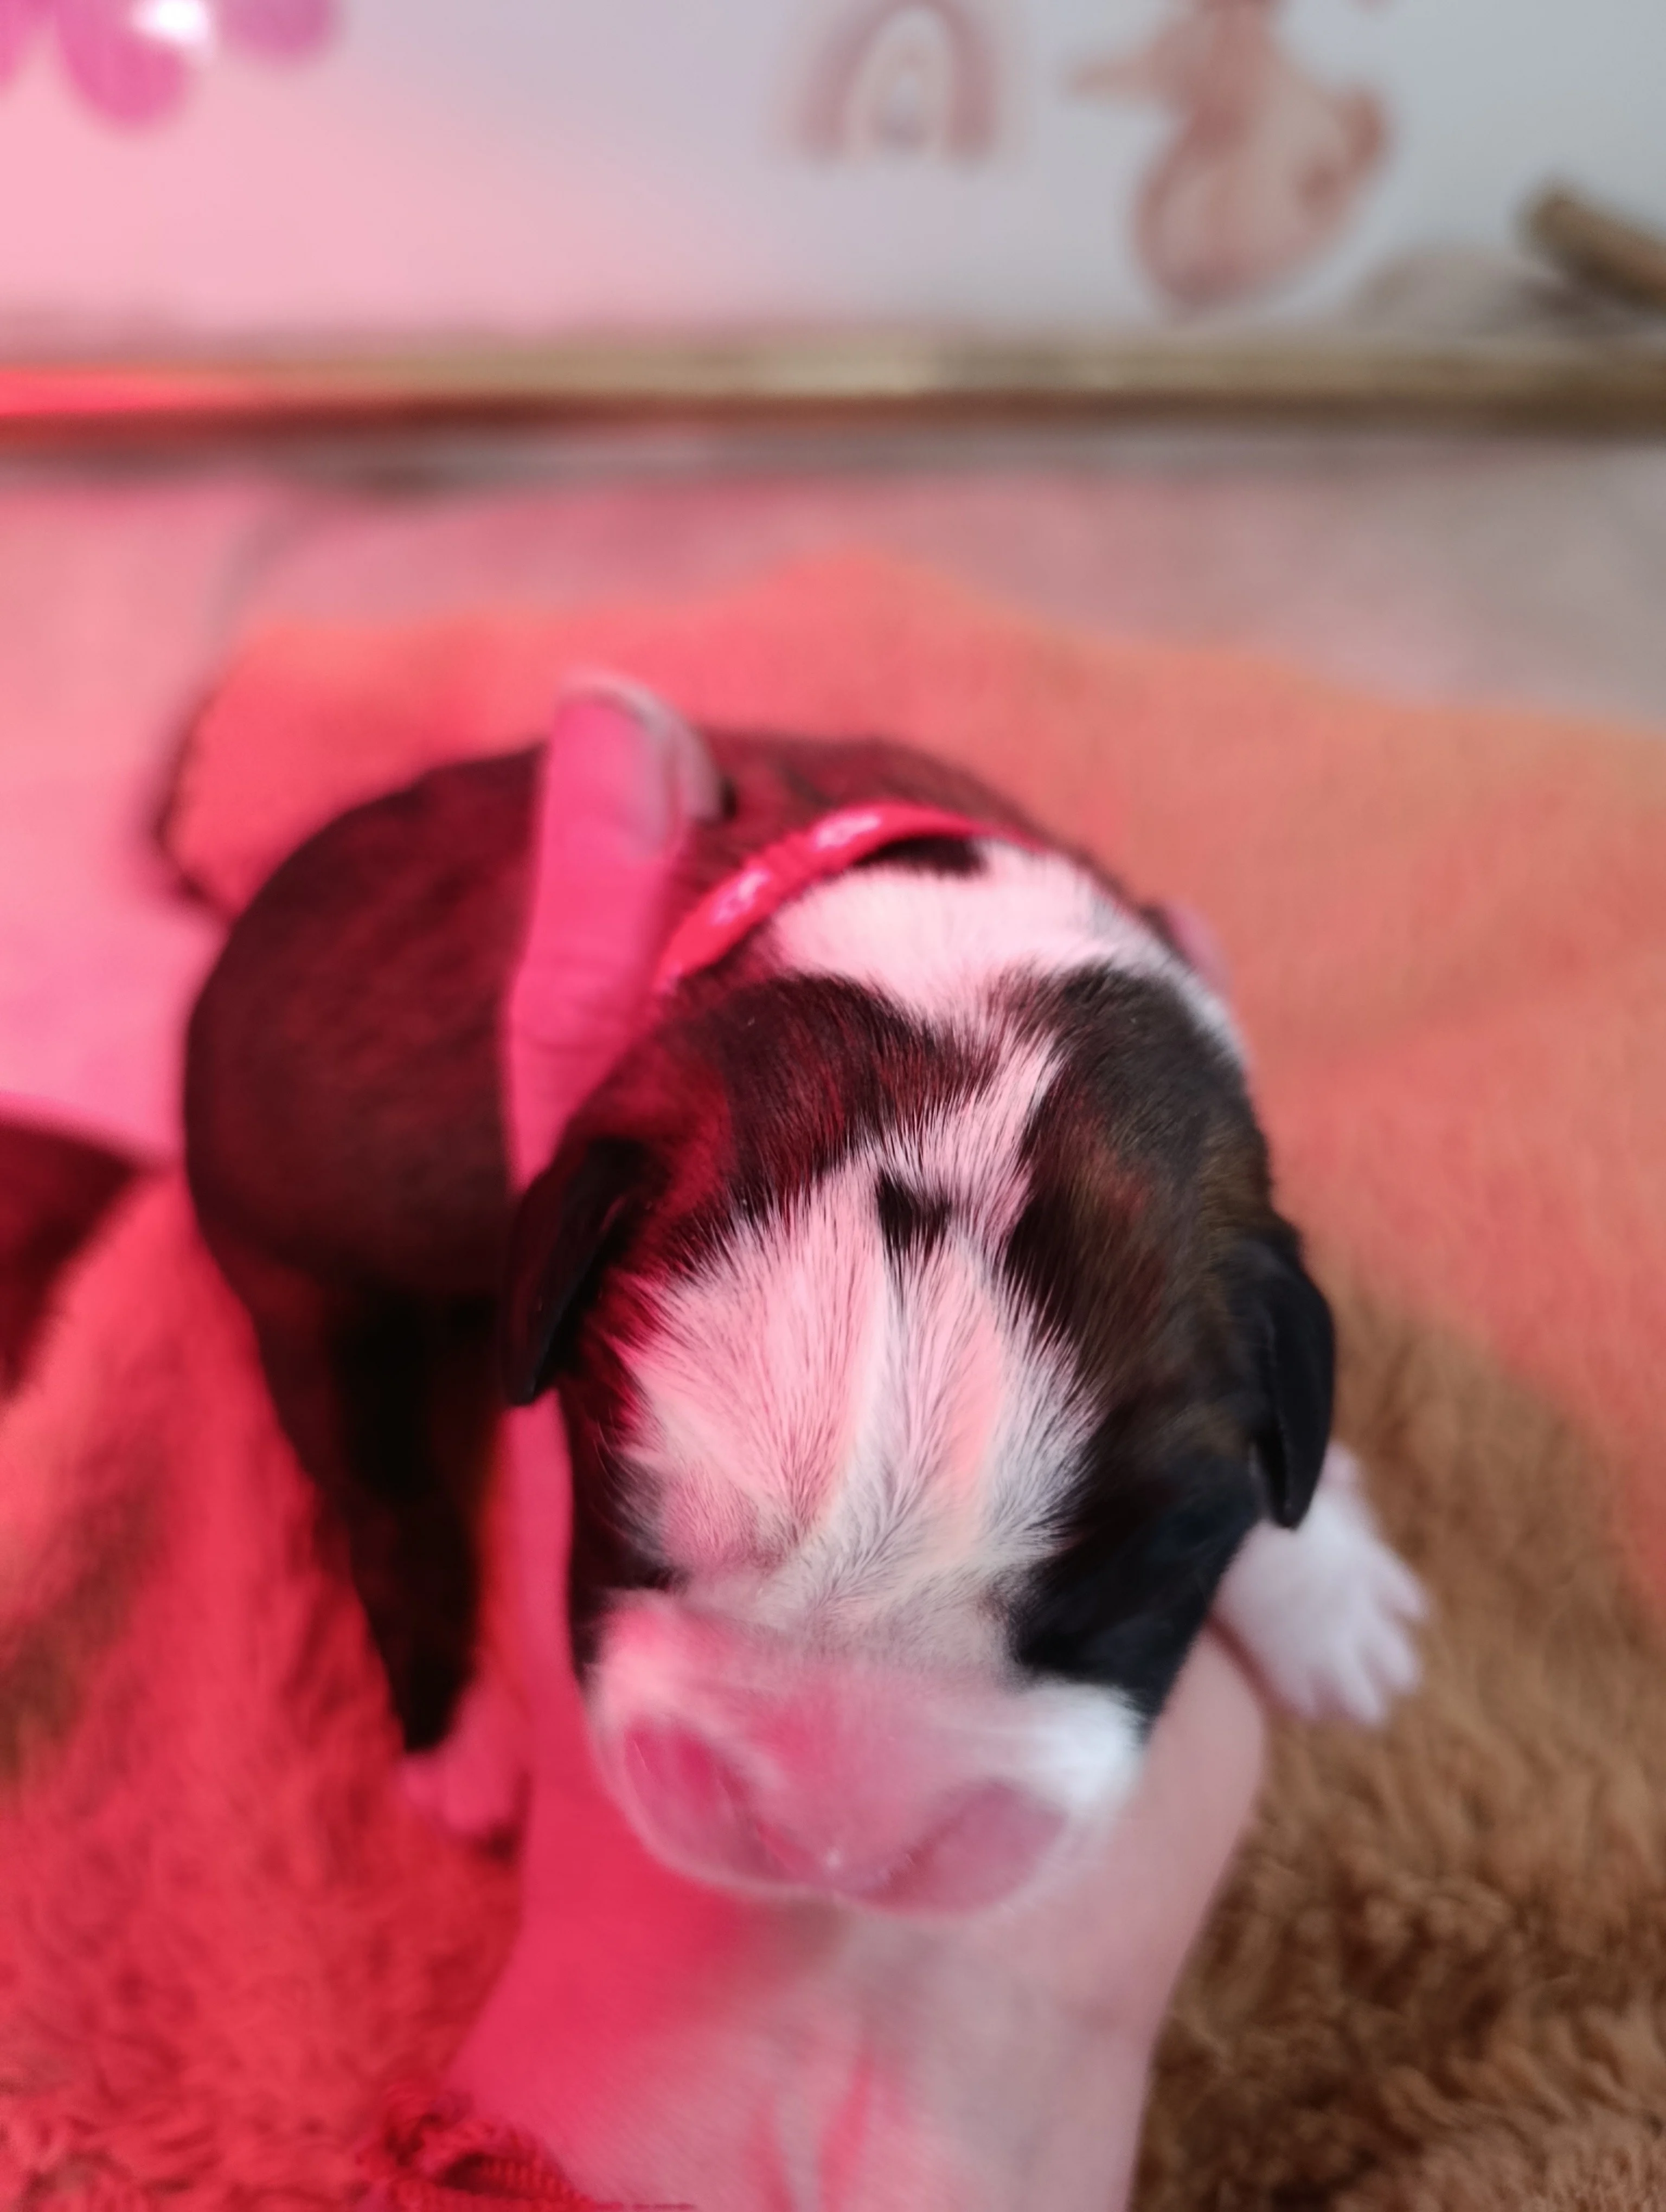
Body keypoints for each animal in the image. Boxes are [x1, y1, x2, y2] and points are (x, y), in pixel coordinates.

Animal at [186, 683, 1423, 1917]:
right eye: (623, 1518)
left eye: (1143, 1574)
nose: (839, 1853)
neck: (943, 963)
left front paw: (1331, 1591)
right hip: (300, 1285)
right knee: (380, 1501)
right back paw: (459, 1749)